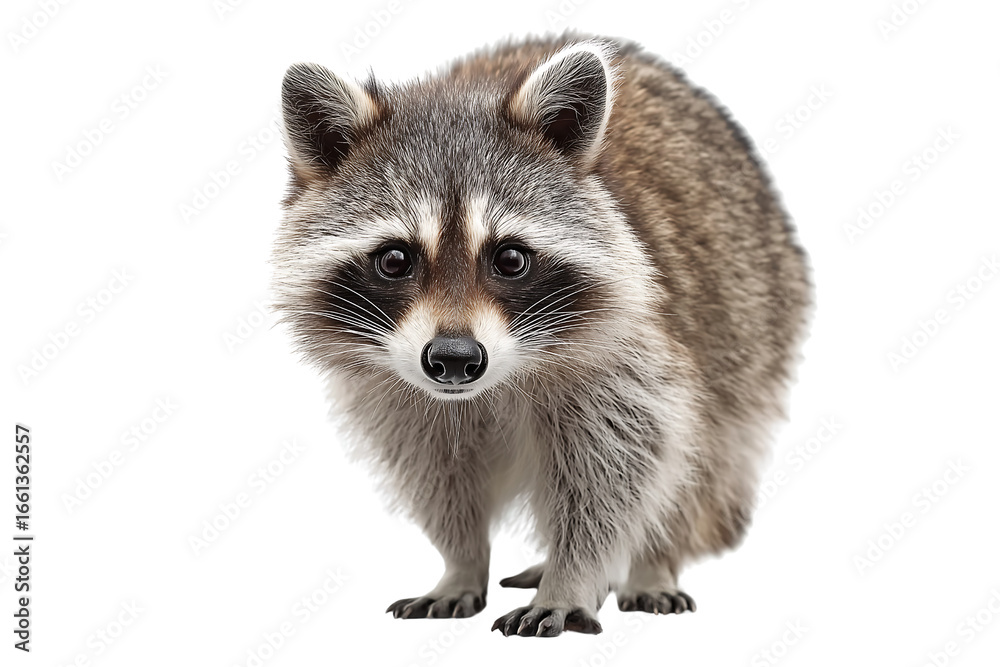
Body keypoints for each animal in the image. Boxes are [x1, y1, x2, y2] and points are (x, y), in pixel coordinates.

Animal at [271, 34, 811, 637]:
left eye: (510, 259)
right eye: (394, 260)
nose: (454, 359)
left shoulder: (628, 357)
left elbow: (620, 470)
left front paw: (572, 577)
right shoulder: (397, 393)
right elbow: (439, 476)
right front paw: (462, 560)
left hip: (753, 327)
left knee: (698, 459)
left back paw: (653, 562)